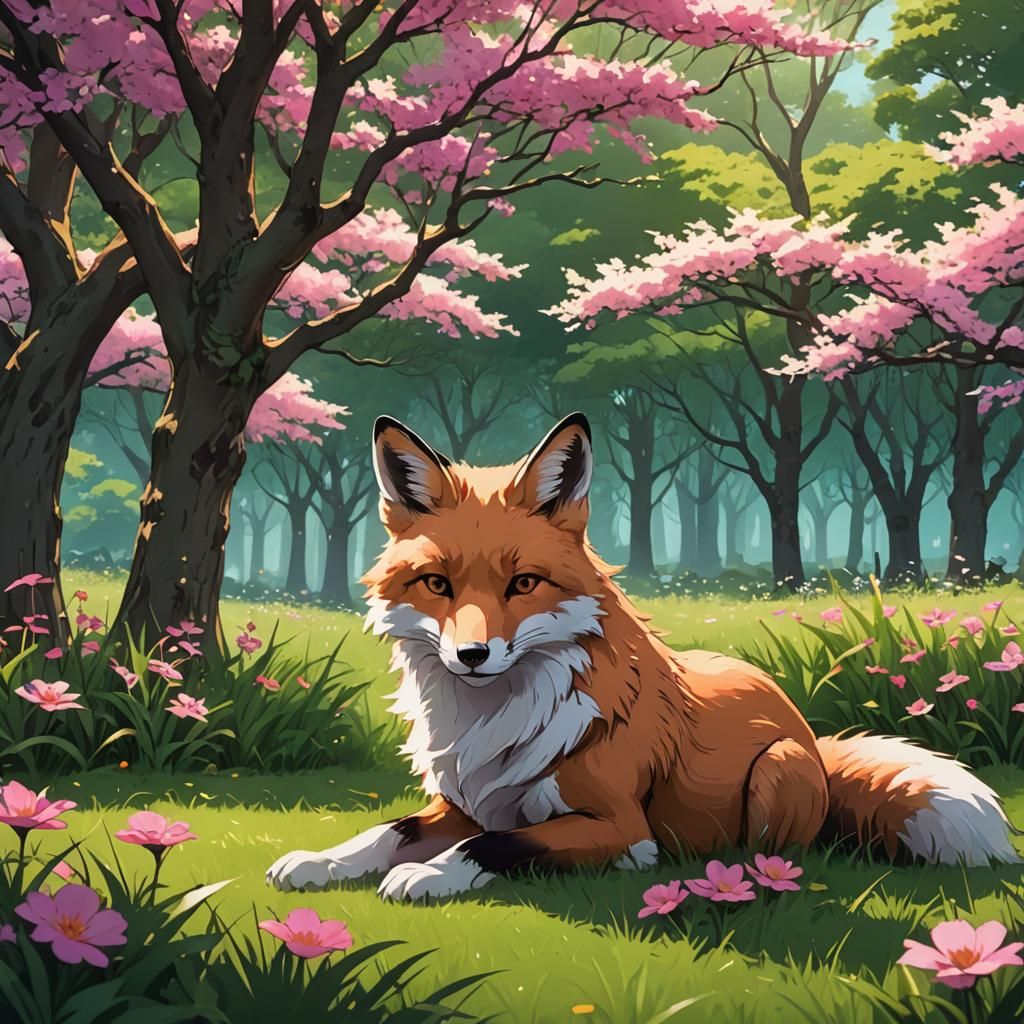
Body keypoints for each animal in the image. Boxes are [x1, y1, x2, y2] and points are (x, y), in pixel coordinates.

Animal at [266, 412, 1020, 901]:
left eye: (523, 584)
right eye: (438, 585)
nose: (472, 655)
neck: (495, 723)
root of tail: (807, 728)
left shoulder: (614, 824)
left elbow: (498, 846)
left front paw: (430, 874)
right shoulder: (470, 802)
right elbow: (387, 831)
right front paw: (320, 862)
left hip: (775, 774)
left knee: (779, 853)